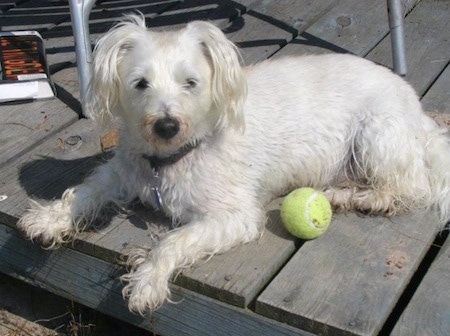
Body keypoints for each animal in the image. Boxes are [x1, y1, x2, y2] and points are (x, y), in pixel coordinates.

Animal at [17, 14, 450, 314]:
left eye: (190, 83)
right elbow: (84, 192)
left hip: (376, 135)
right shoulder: (121, 172)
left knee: (408, 188)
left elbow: (173, 241)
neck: (168, 159)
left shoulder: (234, 216)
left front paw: (147, 282)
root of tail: (418, 110)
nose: (166, 125)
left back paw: (351, 197)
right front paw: (49, 218)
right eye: (140, 84)